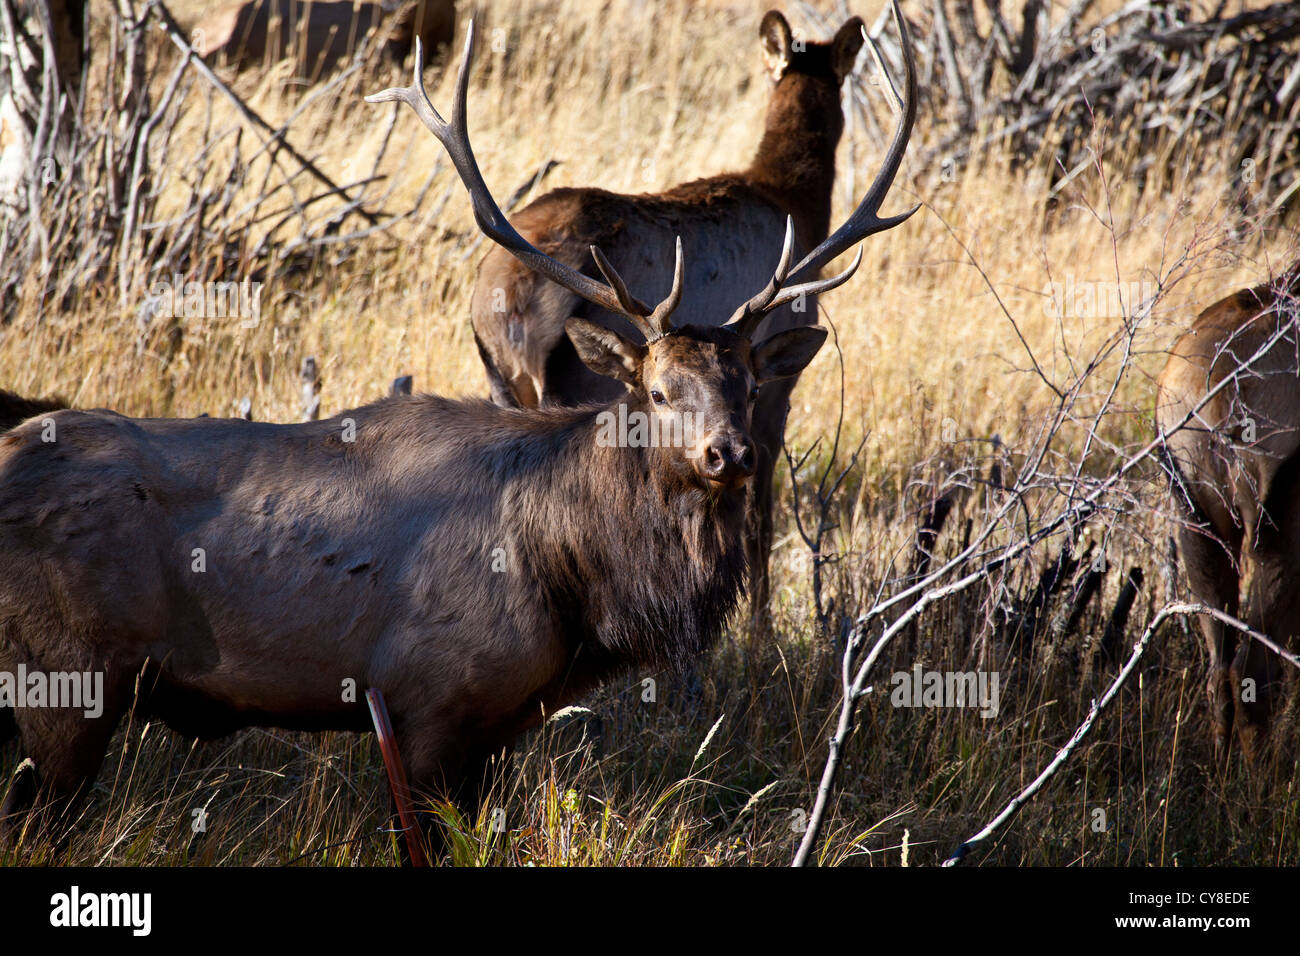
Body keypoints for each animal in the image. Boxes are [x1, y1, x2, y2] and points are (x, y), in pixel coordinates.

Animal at [0, 22, 883, 848]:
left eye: (747, 385)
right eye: (657, 392)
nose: (728, 454)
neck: (574, 577)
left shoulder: (496, 727)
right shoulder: (429, 704)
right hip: (64, 674)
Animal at [467, 0, 915, 624]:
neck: (794, 203)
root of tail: (505, 300)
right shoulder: (777, 386)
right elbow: (760, 520)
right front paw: (760, 628)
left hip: (498, 377)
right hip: (572, 382)